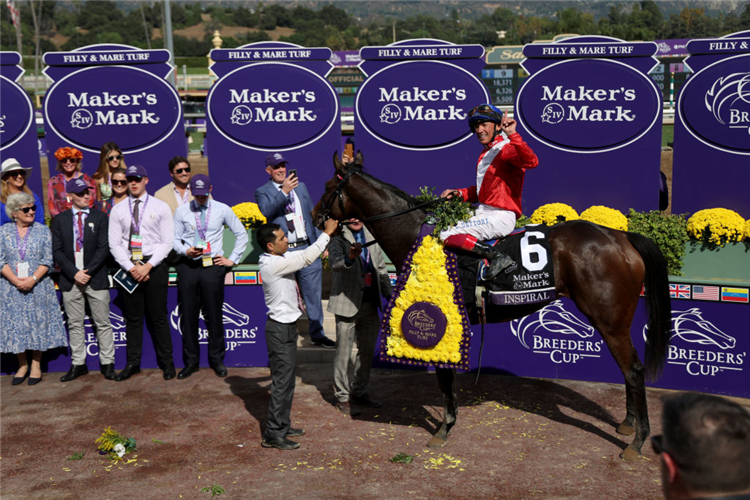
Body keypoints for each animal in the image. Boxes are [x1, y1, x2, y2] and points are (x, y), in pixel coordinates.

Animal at [314, 152, 672, 460]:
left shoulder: (443, 317)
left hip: (610, 321)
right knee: (628, 370)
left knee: (634, 370)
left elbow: (444, 377)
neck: (416, 235)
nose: (317, 216)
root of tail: (621, 238)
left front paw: (444, 428)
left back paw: (637, 442)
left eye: (329, 186)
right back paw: (627, 424)